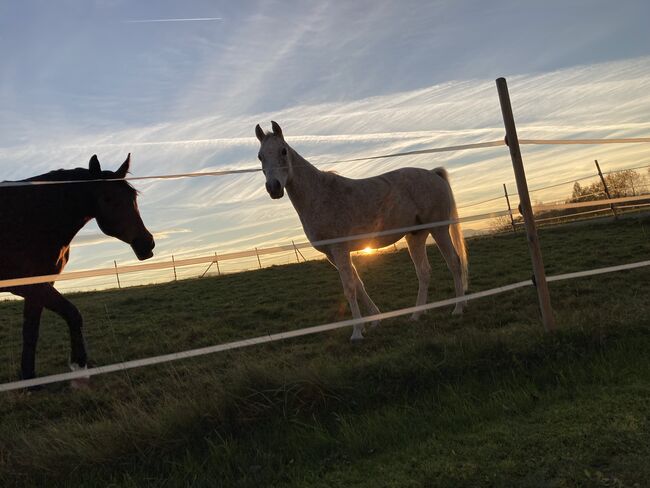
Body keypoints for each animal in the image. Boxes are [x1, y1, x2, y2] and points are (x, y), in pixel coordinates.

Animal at [0, 154, 154, 384]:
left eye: (133, 197)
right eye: (107, 198)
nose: (147, 244)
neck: (30, 219)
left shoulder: (40, 285)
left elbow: (31, 332)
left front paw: (30, 381)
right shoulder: (28, 285)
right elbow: (72, 314)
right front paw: (79, 366)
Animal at [254, 122, 466, 340]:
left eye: (283, 151)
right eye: (260, 156)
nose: (273, 188)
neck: (319, 194)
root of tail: (433, 173)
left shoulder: (339, 249)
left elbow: (349, 288)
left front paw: (357, 332)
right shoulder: (332, 254)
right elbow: (358, 284)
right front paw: (373, 322)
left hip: (439, 230)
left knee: (454, 263)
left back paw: (457, 309)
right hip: (415, 236)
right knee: (424, 272)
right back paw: (416, 315)